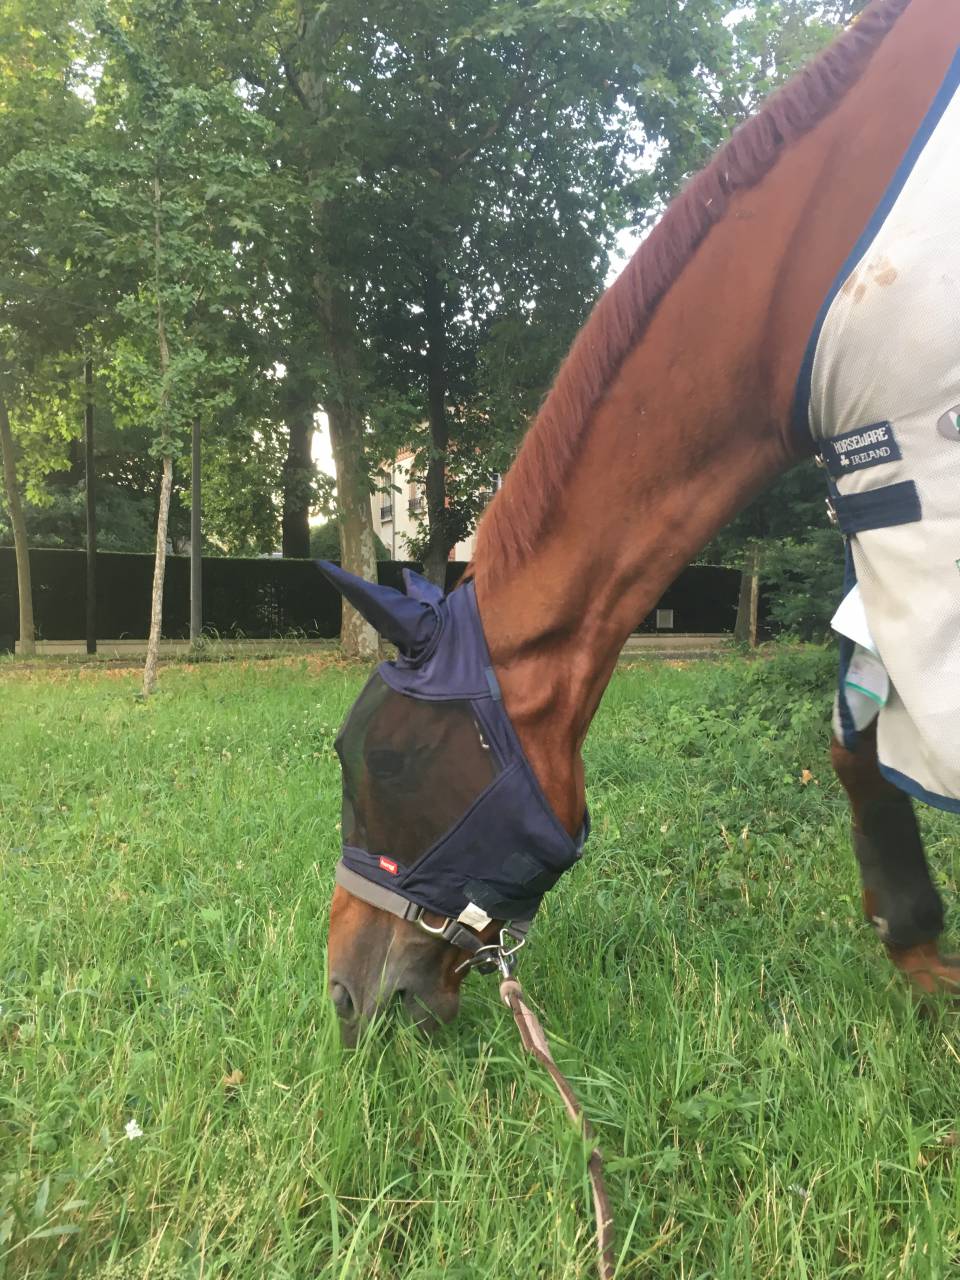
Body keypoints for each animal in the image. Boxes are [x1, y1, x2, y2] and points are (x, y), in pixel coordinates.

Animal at [323, 0, 960, 1044]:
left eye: (386, 758)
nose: (344, 994)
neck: (797, 281)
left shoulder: (918, 489)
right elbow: (856, 736)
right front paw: (918, 948)